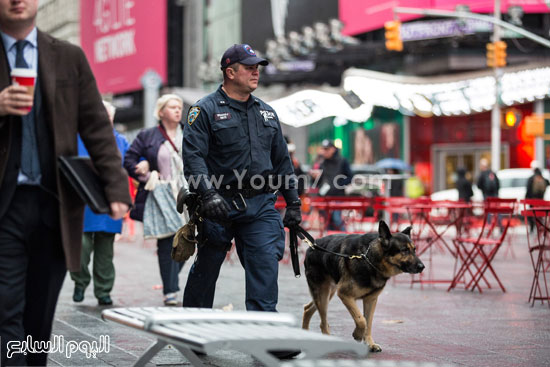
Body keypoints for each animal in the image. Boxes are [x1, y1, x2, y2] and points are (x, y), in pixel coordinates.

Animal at [304, 221, 424, 354]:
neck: (369, 259)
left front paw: (370, 343)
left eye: (414, 250)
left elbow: (368, 322)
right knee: (323, 322)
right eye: (404, 250)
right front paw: (357, 335)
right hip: (323, 294)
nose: (422, 267)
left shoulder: (370, 300)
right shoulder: (345, 295)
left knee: (307, 308)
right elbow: (362, 320)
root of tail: (312, 246)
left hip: (327, 293)